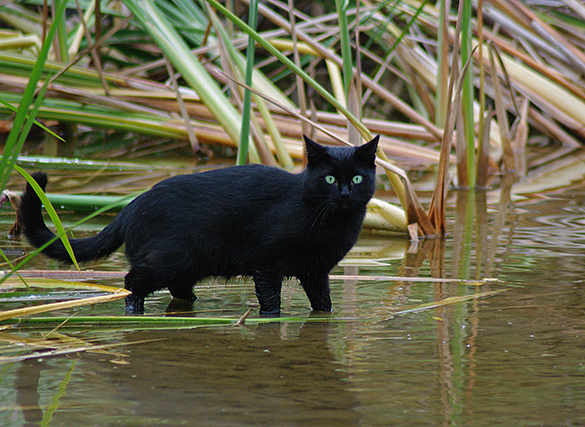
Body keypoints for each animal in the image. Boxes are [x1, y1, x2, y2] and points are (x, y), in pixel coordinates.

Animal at [17, 136, 378, 314]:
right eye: (329, 178)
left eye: (357, 178)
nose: (345, 193)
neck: (331, 223)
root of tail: (132, 205)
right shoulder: (266, 264)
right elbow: (270, 303)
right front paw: (270, 319)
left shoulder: (316, 271)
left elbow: (323, 305)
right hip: (167, 260)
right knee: (132, 281)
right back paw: (135, 312)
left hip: (188, 265)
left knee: (177, 290)